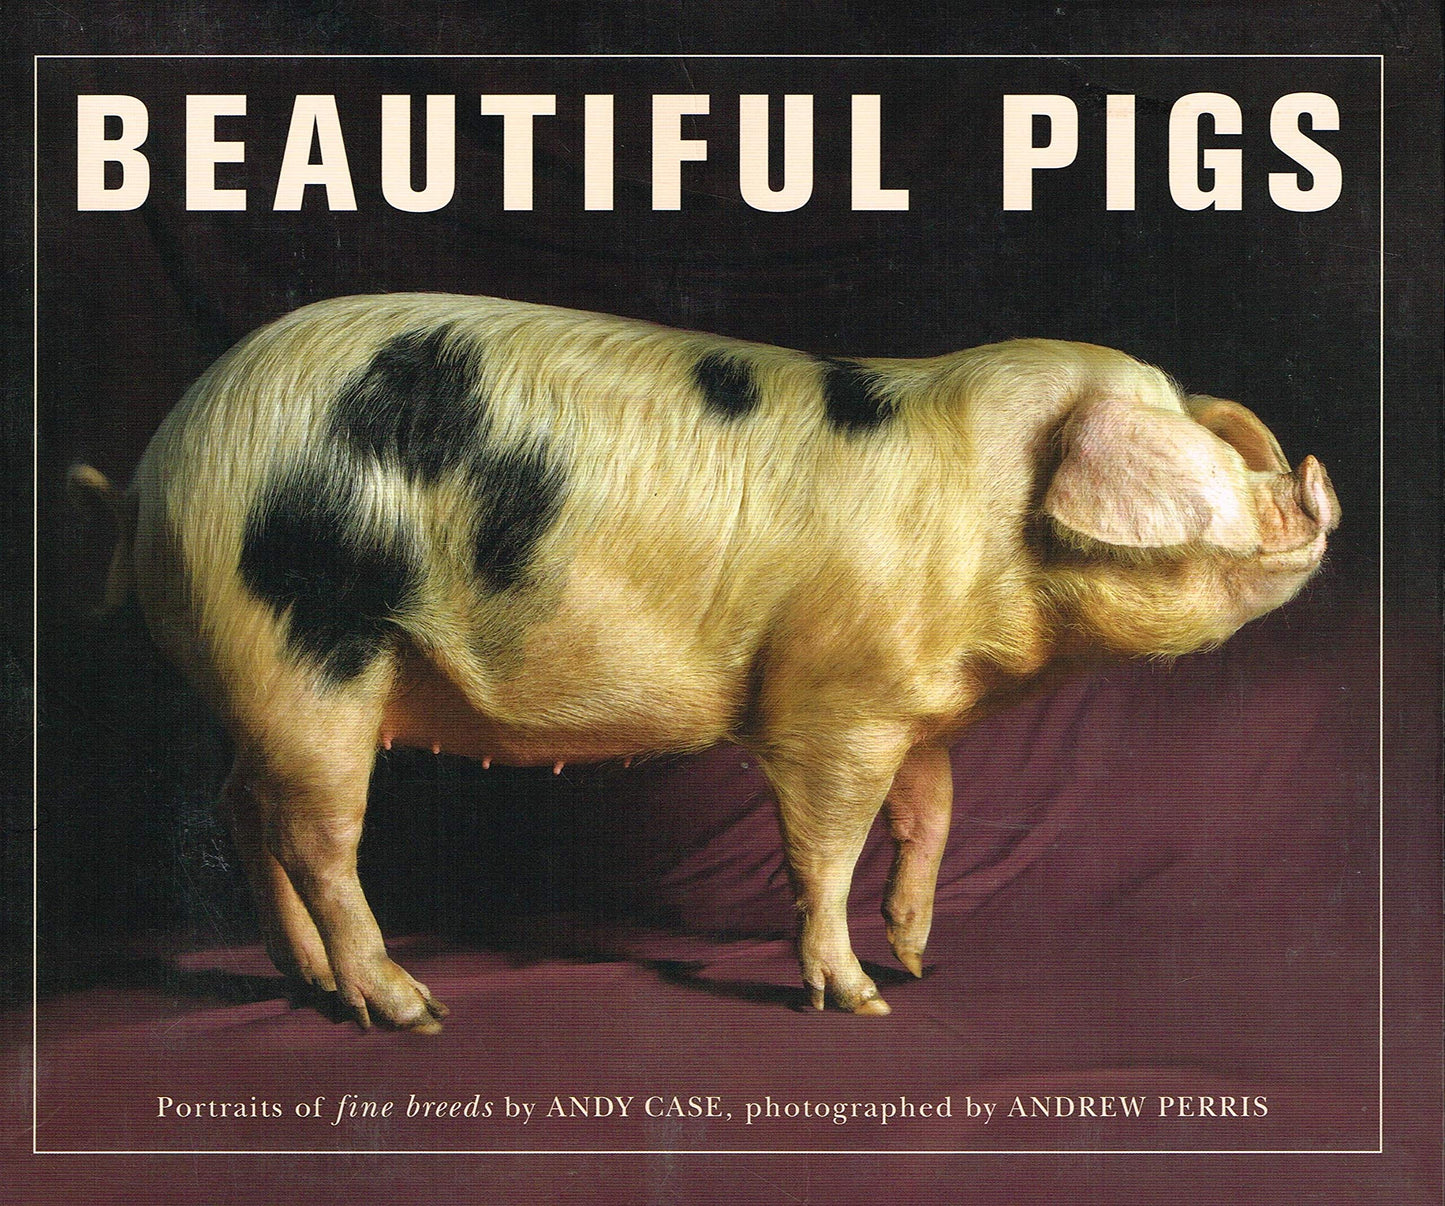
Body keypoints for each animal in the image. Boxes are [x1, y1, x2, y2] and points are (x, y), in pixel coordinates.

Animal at [70, 293, 1339, 1032]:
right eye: (1208, 477)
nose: (1314, 482)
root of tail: (150, 475)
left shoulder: (909, 702)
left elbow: (929, 812)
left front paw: (918, 961)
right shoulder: (828, 706)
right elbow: (823, 848)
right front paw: (860, 1003)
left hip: (256, 686)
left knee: (244, 811)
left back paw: (304, 985)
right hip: (305, 654)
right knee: (320, 841)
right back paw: (407, 1009)